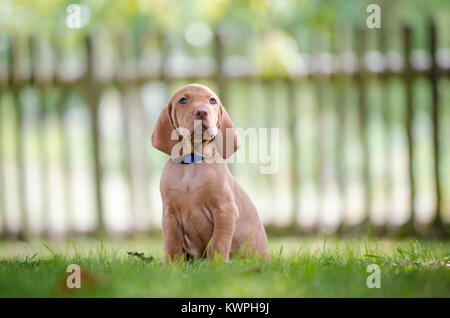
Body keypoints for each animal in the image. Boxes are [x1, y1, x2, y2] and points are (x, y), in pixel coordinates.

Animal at [153, 83, 268, 262]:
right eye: (183, 100)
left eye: (212, 100)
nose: (201, 112)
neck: (192, 163)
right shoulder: (169, 214)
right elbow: (172, 244)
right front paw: (172, 265)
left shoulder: (225, 209)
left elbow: (218, 241)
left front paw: (217, 264)